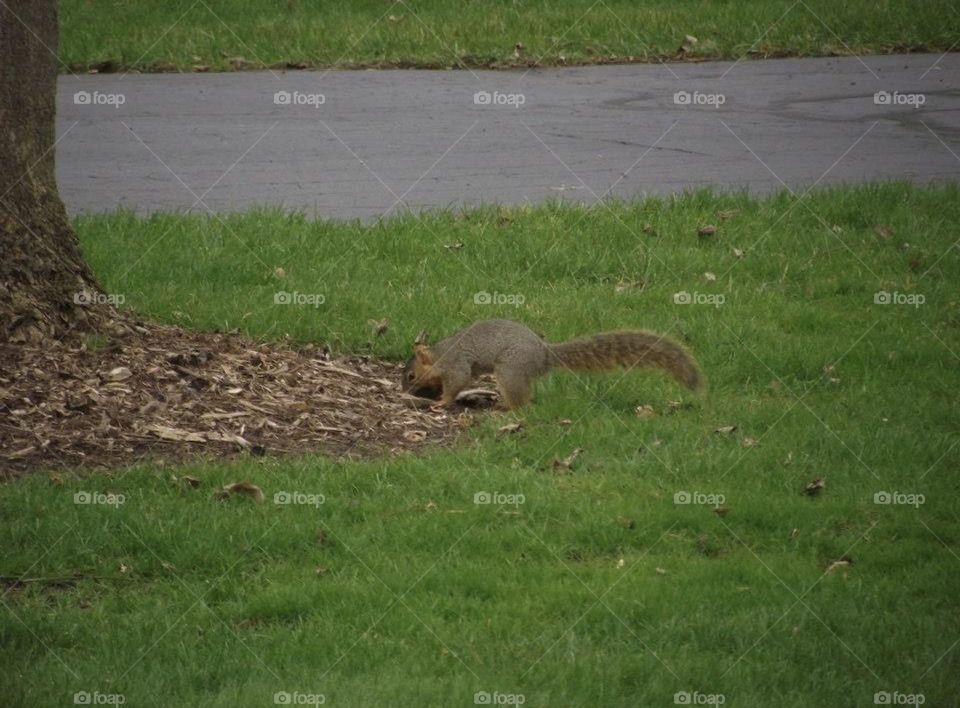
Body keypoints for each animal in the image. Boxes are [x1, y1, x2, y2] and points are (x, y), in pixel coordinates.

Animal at [401, 319, 702, 409]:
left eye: (411, 376)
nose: (404, 392)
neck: (438, 355)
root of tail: (545, 354)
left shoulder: (455, 365)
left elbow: (458, 382)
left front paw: (442, 401)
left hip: (510, 369)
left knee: (521, 400)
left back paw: (506, 408)